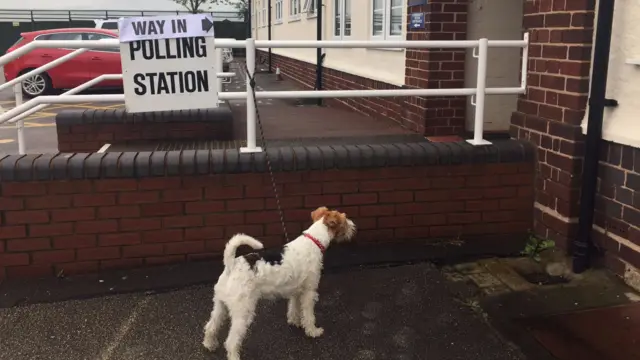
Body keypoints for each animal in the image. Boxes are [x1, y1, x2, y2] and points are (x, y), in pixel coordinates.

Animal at [202, 207, 358, 358]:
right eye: (344, 219)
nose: (353, 226)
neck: (314, 240)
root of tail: (231, 265)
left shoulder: (296, 290)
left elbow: (294, 307)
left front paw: (294, 321)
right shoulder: (309, 291)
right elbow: (309, 315)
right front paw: (313, 331)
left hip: (220, 305)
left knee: (211, 326)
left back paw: (209, 345)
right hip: (243, 311)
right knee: (231, 341)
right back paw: (234, 355)